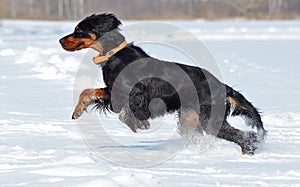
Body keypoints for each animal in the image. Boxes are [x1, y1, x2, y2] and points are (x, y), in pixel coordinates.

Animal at [59, 13, 266, 155]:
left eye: (79, 29)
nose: (60, 40)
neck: (114, 54)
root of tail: (223, 86)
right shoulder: (113, 90)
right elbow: (88, 91)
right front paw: (77, 111)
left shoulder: (134, 95)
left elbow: (125, 112)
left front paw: (138, 124)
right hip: (189, 118)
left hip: (209, 117)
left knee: (244, 136)